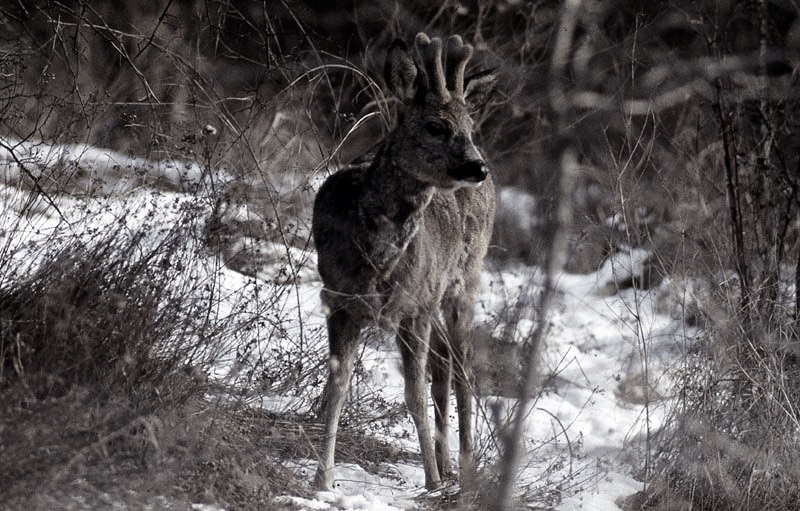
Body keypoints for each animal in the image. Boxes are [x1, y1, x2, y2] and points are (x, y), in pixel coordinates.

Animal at [310, 33, 494, 492]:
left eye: (469, 128)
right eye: (435, 126)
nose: (476, 166)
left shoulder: (414, 309)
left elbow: (413, 394)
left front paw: (431, 481)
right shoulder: (340, 300)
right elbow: (337, 386)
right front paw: (323, 480)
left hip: (464, 279)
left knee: (463, 368)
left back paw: (463, 468)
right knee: (445, 362)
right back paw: (448, 463)